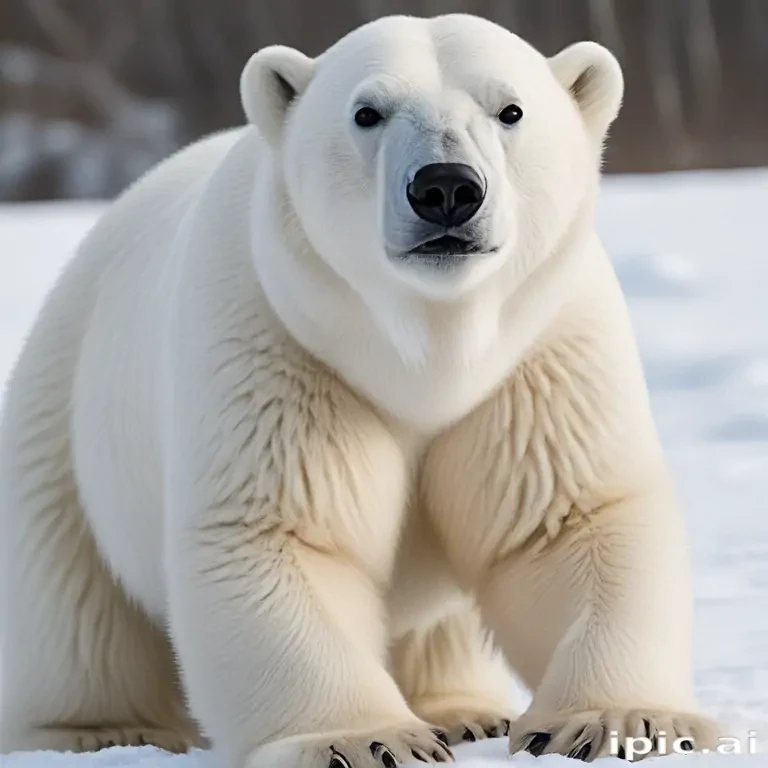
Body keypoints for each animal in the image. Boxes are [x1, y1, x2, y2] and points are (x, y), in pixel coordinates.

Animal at [0, 12, 721, 767]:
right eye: (367, 112)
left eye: (511, 109)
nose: (445, 188)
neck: (427, 350)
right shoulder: (276, 343)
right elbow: (282, 533)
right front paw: (364, 739)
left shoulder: (543, 354)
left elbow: (570, 521)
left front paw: (622, 722)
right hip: (62, 410)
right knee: (69, 601)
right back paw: (94, 730)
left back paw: (465, 711)